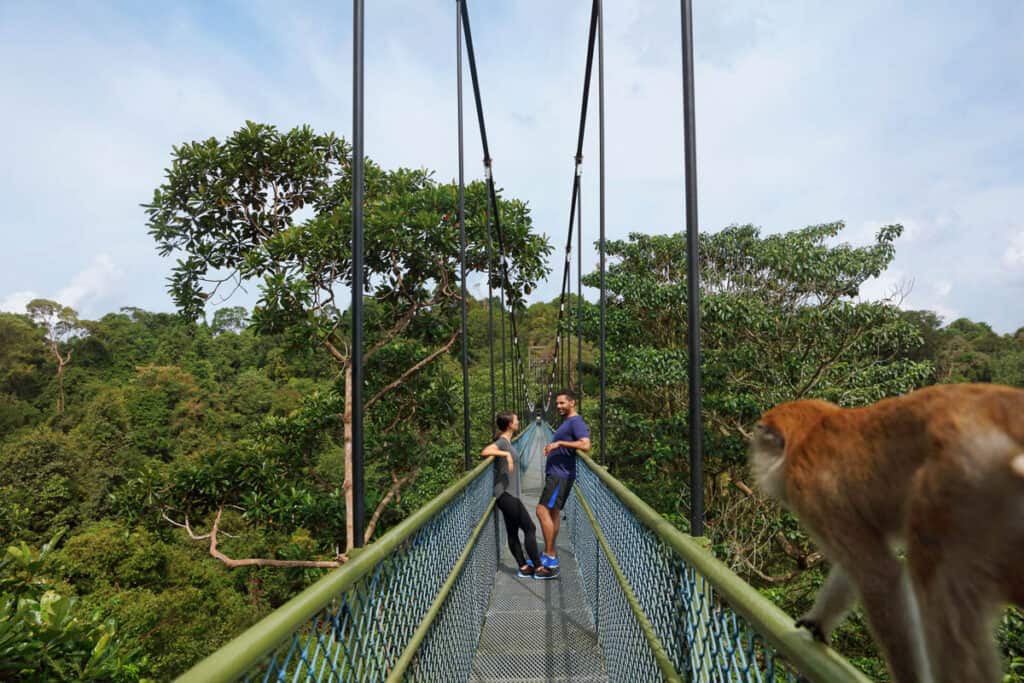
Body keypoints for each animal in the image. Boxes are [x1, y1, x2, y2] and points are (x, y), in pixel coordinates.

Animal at [745, 385, 1024, 683]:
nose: (755, 465)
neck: (809, 434)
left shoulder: (812, 494)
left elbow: (880, 576)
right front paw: (818, 622)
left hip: (966, 482)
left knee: (936, 584)